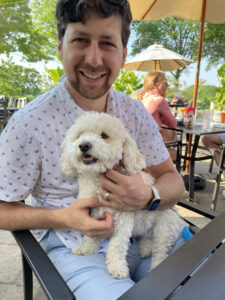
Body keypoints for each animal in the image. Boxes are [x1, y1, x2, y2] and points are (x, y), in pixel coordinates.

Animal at [60, 112, 185, 278]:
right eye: (79, 135)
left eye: (104, 135)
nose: (83, 145)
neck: (97, 180)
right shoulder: (92, 215)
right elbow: (91, 236)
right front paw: (86, 249)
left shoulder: (122, 220)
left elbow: (117, 246)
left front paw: (116, 267)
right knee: (147, 237)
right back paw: (146, 248)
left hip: (164, 229)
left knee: (160, 252)